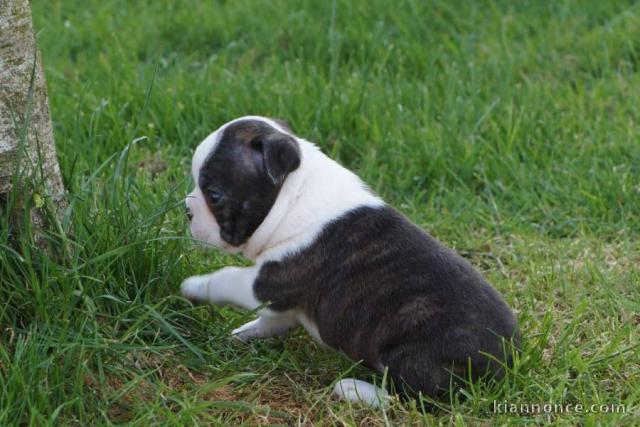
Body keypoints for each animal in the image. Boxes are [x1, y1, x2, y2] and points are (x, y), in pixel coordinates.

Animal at [181, 116, 520, 408]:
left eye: (213, 194)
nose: (186, 209)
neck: (293, 196)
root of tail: (506, 363)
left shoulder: (268, 283)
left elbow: (226, 277)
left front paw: (194, 286)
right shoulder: (286, 303)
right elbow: (270, 321)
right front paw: (242, 333)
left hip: (414, 355)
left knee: (415, 397)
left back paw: (354, 390)